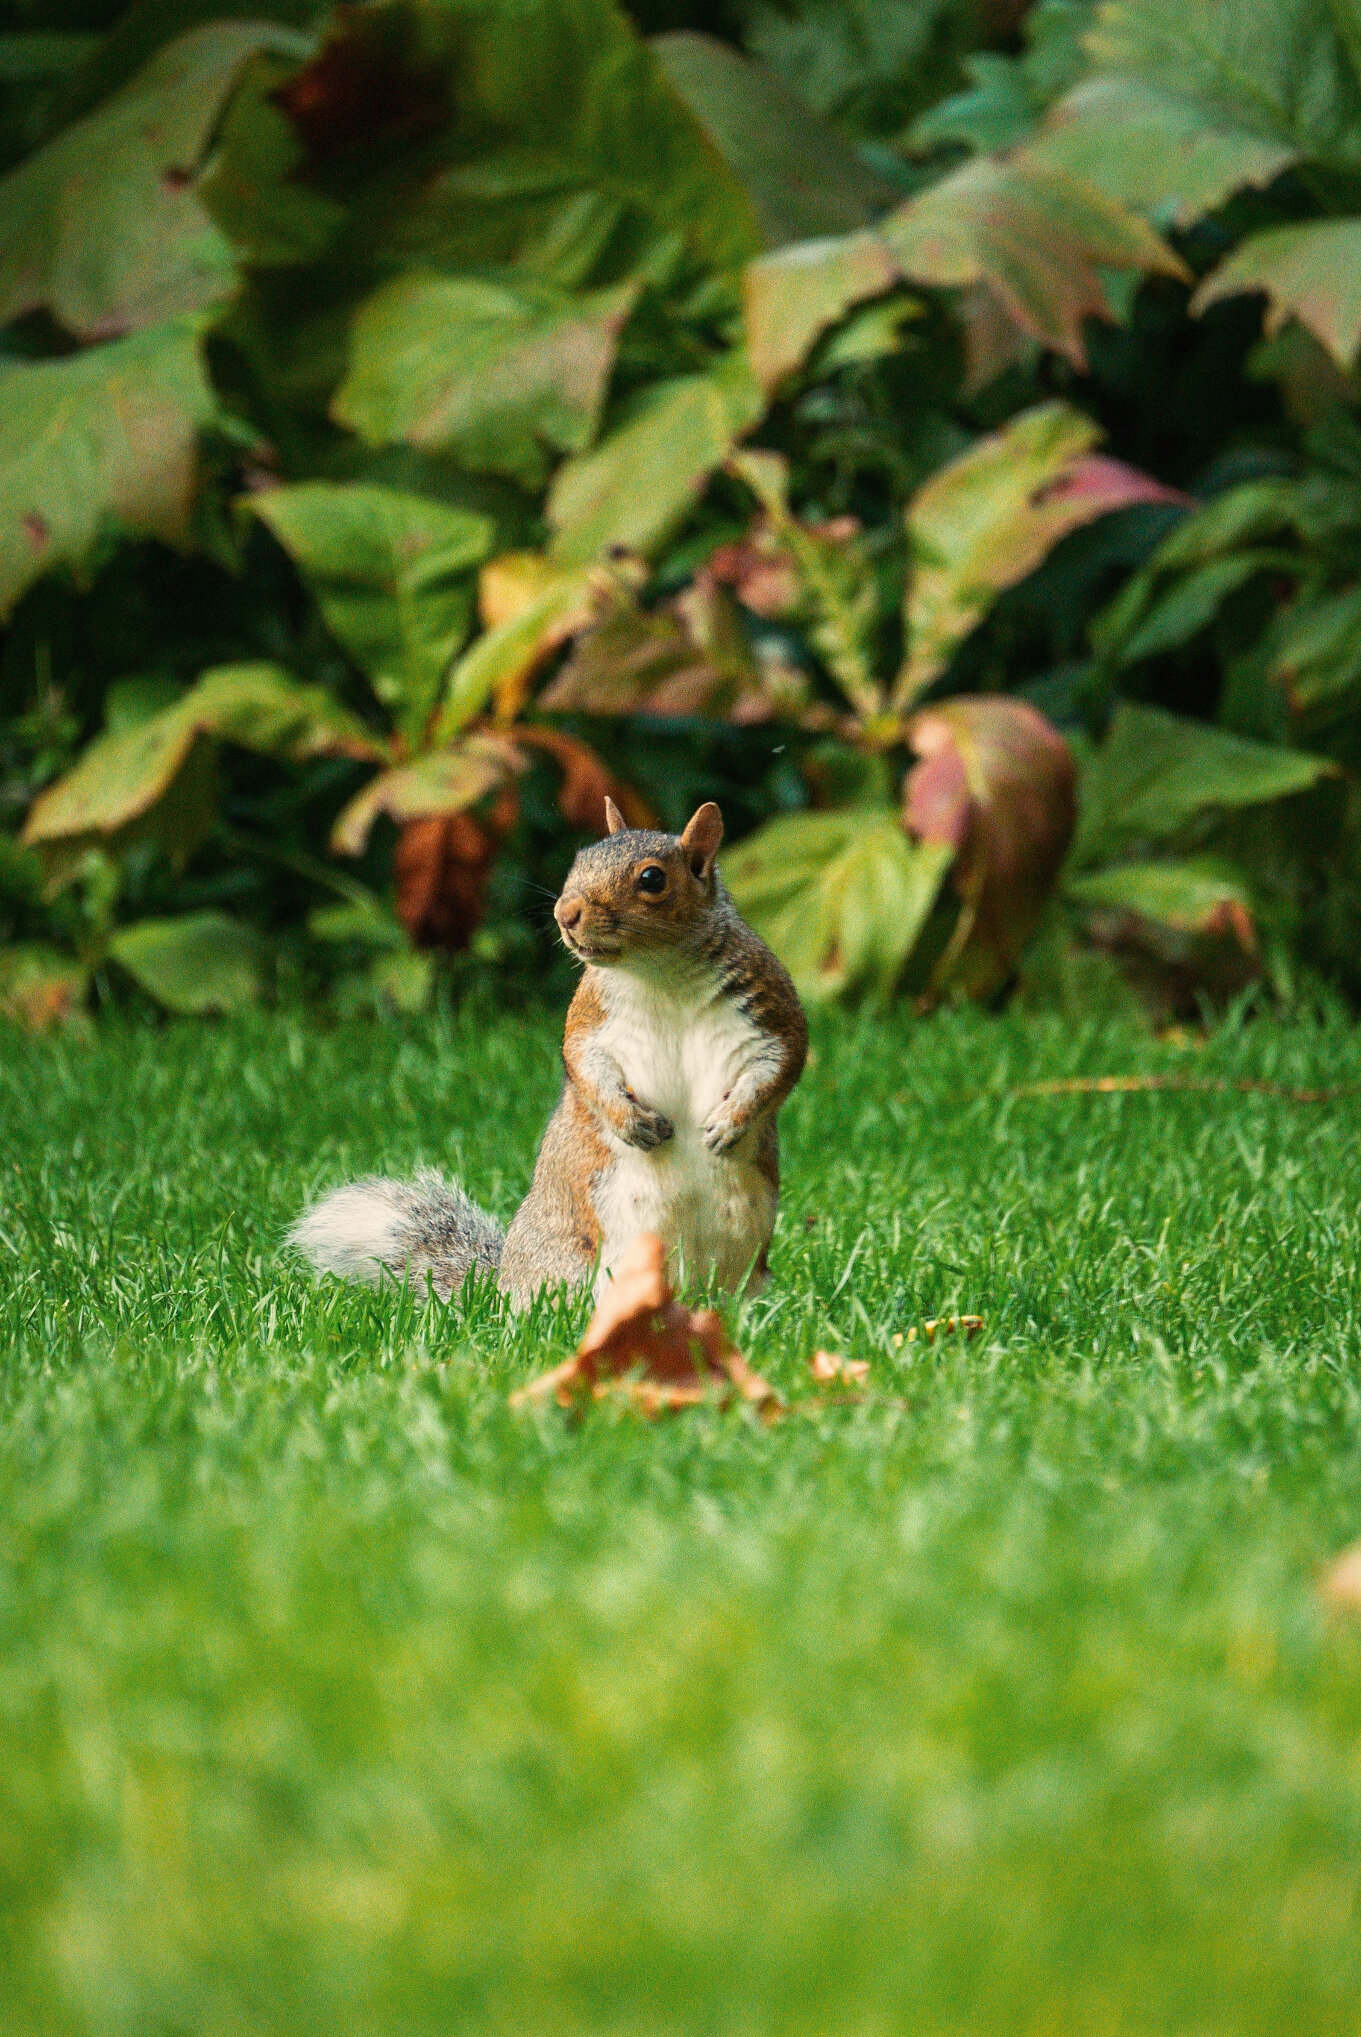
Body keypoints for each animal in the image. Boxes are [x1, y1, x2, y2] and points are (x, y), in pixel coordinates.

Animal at [285, 794, 798, 1303]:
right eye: (580, 858)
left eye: (653, 879)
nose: (565, 913)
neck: (659, 974)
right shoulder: (589, 1021)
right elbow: (585, 1067)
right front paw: (629, 1122)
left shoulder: (769, 1011)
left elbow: (779, 1066)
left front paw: (729, 1122)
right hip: (572, 1263)